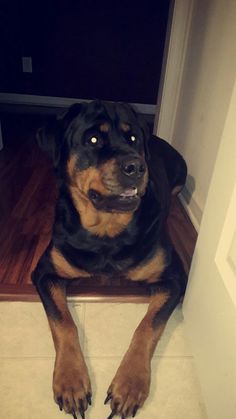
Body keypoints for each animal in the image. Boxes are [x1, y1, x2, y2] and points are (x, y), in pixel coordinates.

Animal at [32, 101, 188, 419]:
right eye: (93, 139)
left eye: (133, 139)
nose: (136, 166)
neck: (107, 231)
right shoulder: (44, 272)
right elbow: (63, 322)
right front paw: (71, 381)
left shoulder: (175, 277)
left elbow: (148, 326)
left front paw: (129, 385)